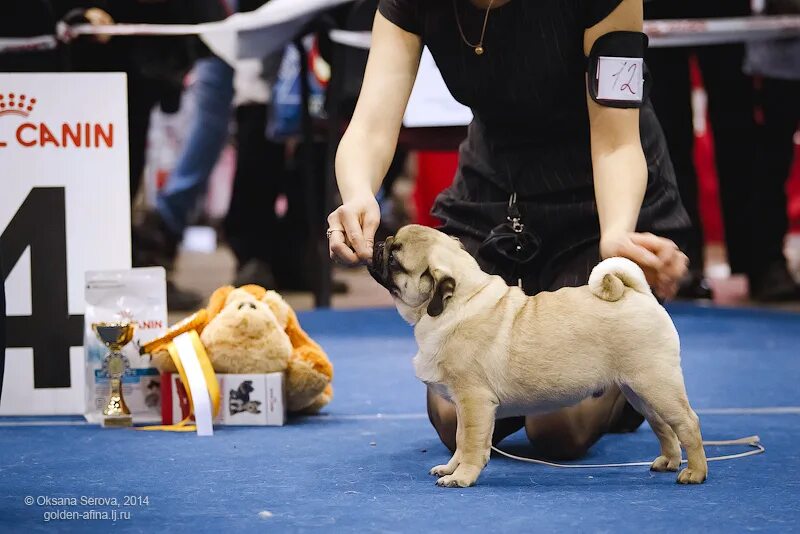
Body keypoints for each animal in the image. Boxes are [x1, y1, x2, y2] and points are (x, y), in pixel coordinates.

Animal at [368, 225, 708, 490]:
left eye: (395, 258)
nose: (379, 242)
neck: (456, 304)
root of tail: (639, 294)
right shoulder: (464, 408)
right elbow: (461, 439)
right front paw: (452, 467)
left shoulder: (474, 402)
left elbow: (472, 444)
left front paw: (462, 477)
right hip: (639, 392)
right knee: (663, 425)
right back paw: (669, 461)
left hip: (656, 383)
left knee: (688, 423)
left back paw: (695, 472)